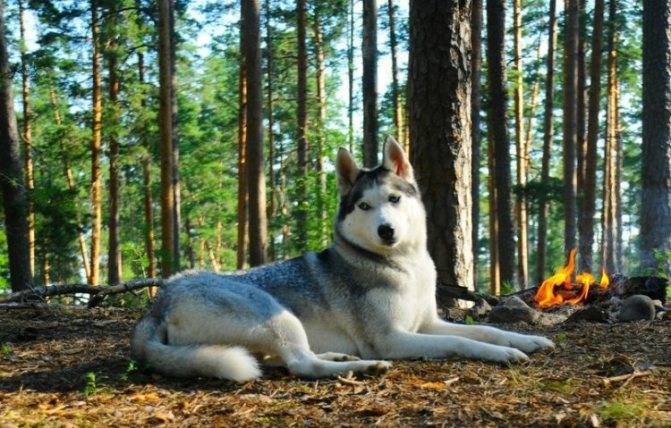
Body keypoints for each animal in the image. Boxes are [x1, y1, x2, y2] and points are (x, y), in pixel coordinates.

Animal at [131, 137, 554, 382]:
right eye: (364, 206)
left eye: (394, 199)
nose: (386, 231)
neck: (403, 266)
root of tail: (159, 301)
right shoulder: (392, 338)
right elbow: (464, 343)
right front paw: (503, 354)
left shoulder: (428, 323)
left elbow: (485, 329)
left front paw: (526, 340)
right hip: (275, 314)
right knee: (301, 365)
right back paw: (361, 366)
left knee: (283, 359)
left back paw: (338, 354)